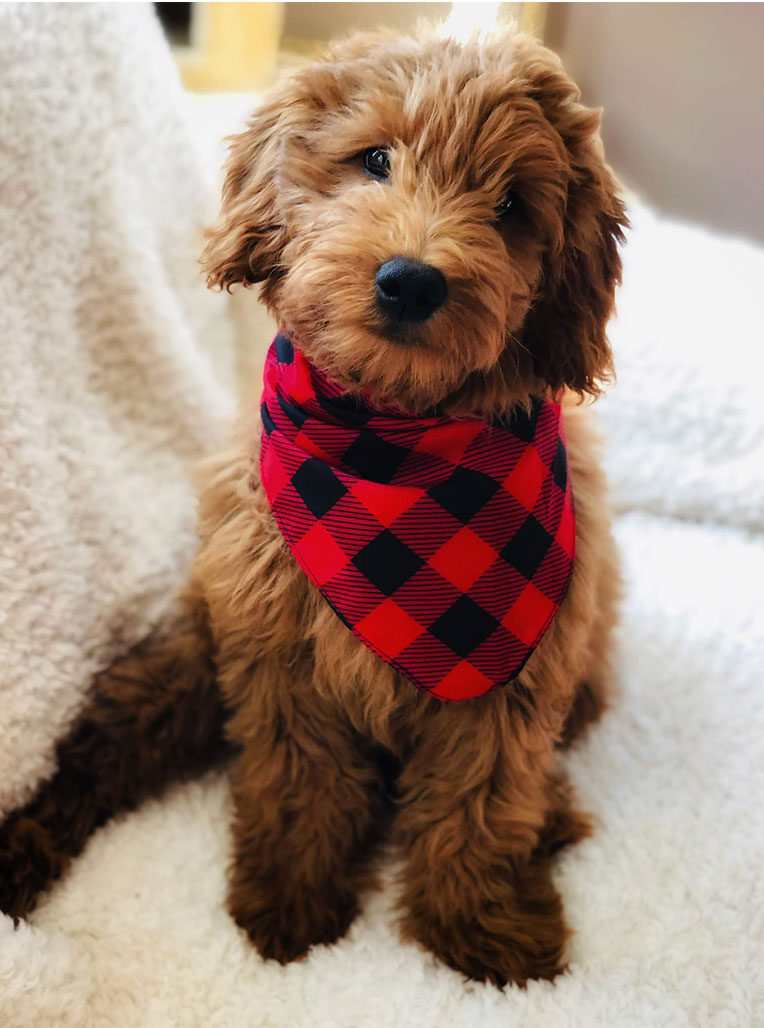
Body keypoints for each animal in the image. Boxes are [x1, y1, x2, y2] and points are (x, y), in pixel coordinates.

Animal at [0, 28, 629, 982]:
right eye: (374, 161)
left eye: (512, 206)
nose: (412, 280)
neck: (392, 449)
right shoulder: (279, 648)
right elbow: (300, 785)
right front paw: (291, 904)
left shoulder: (518, 676)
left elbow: (480, 803)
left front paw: (479, 930)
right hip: (191, 645)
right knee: (105, 743)